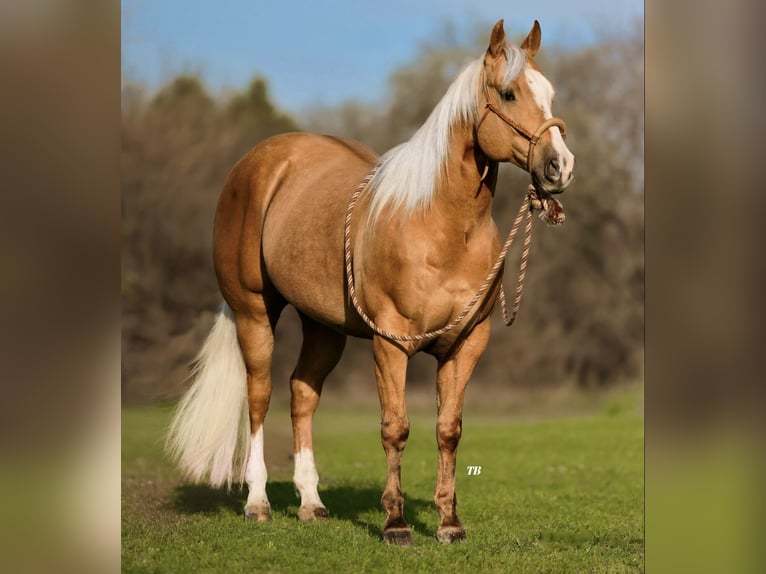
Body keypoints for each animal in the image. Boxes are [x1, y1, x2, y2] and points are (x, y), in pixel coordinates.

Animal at [170, 19, 576, 548]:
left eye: (549, 93)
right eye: (508, 94)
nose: (560, 166)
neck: (441, 225)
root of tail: (258, 163)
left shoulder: (466, 344)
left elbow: (448, 429)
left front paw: (448, 524)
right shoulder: (391, 342)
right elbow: (395, 428)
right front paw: (395, 524)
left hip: (324, 327)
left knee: (302, 394)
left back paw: (312, 504)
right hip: (254, 312)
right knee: (258, 395)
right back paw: (258, 503)